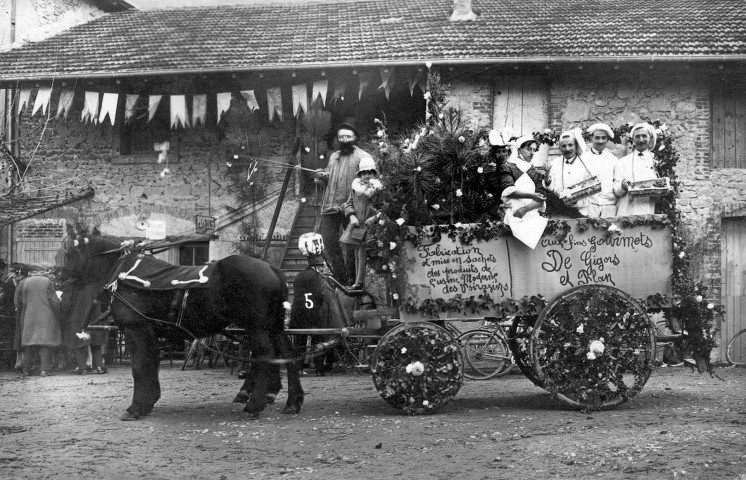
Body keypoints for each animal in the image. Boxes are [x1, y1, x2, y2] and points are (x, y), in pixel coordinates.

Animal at [64, 235, 302, 420]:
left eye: (67, 253)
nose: (58, 277)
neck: (124, 273)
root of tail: (271, 267)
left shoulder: (136, 330)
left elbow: (139, 367)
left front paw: (136, 407)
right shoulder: (150, 334)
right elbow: (151, 364)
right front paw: (149, 401)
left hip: (257, 327)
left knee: (265, 356)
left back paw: (255, 404)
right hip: (273, 327)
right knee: (287, 354)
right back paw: (292, 401)